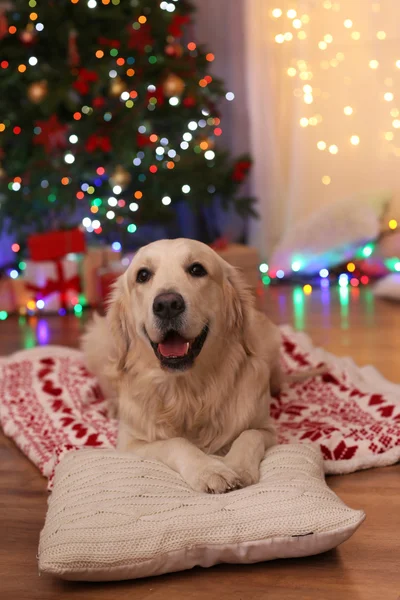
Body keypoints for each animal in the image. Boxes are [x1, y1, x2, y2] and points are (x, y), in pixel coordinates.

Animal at [83, 237, 286, 494]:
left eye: (197, 269)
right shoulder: (131, 442)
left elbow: (249, 435)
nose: (167, 304)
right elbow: (175, 442)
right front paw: (210, 470)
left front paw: (237, 467)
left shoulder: (267, 429)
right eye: (143, 275)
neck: (187, 392)